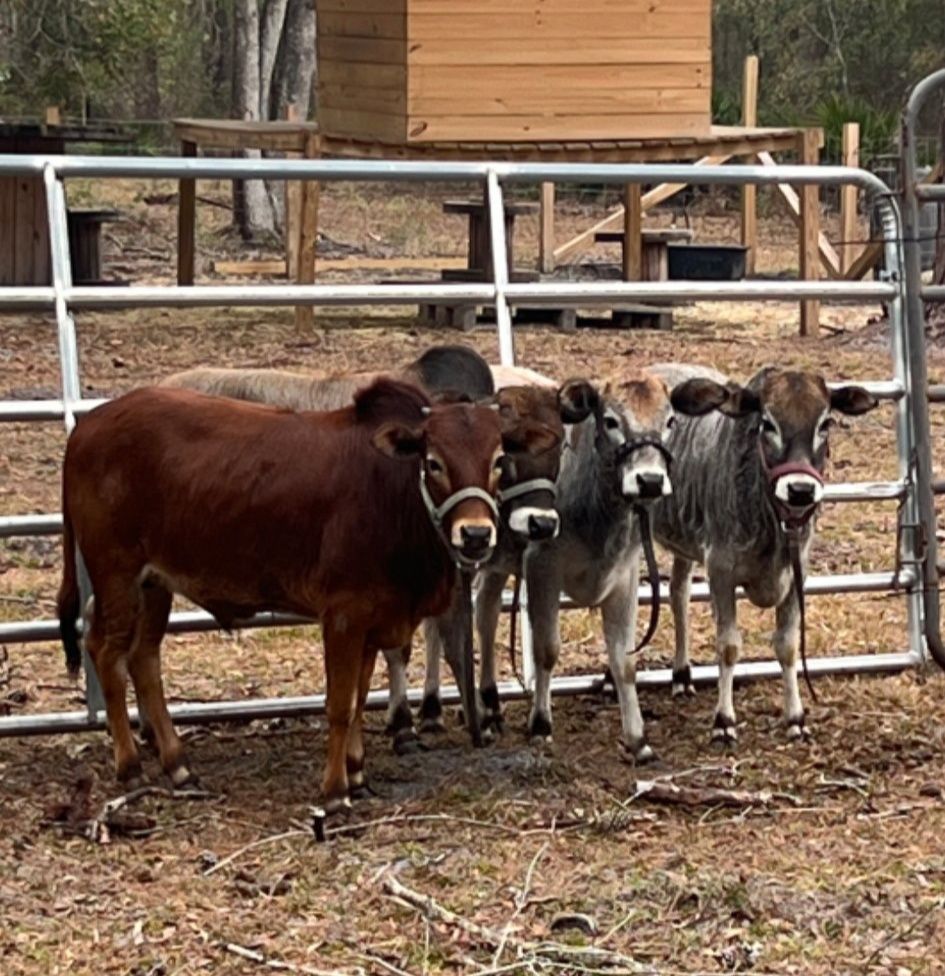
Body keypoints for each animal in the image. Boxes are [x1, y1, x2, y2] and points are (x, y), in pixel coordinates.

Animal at [57, 379, 516, 812]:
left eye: (498, 460)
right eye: (433, 461)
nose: (476, 535)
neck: (391, 491)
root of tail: (87, 428)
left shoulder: (373, 620)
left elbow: (360, 698)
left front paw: (357, 774)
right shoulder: (343, 616)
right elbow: (340, 705)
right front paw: (335, 792)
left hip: (155, 584)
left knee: (144, 659)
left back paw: (178, 766)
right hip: (117, 575)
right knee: (107, 653)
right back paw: (131, 767)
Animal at [649, 364, 878, 745]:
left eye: (825, 423)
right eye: (767, 423)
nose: (800, 490)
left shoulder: (798, 572)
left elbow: (786, 645)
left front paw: (795, 716)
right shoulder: (720, 570)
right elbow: (729, 645)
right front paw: (724, 720)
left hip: (685, 544)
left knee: (678, 592)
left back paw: (682, 675)